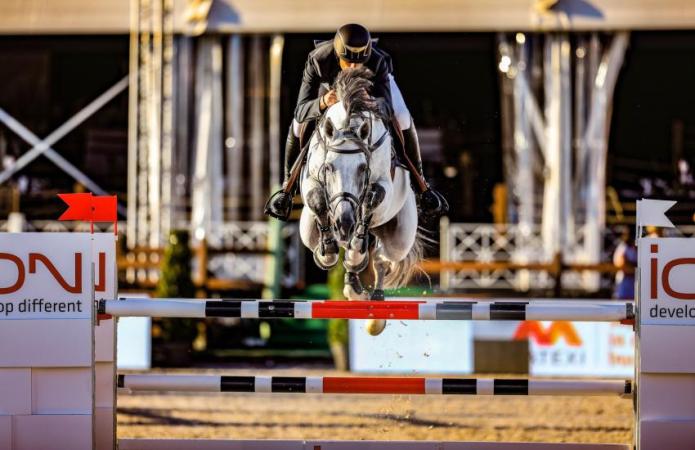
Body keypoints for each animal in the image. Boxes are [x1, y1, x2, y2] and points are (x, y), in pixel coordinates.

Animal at [298, 67, 423, 335]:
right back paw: (350, 281)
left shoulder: (382, 188)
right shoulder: (312, 182)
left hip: (399, 238)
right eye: (328, 167)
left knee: (381, 259)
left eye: (363, 168)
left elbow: (371, 200)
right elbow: (317, 200)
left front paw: (356, 254)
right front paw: (327, 253)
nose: (344, 222)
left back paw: (372, 303)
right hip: (307, 230)